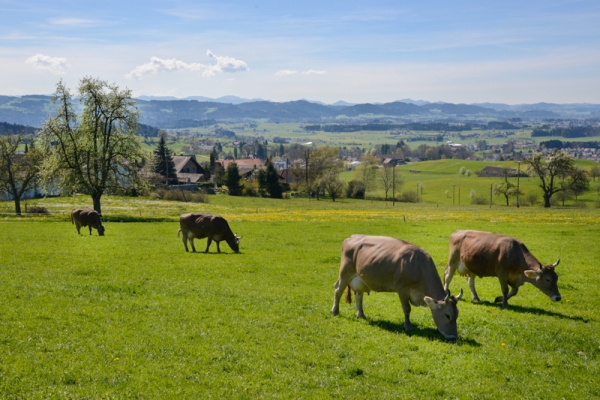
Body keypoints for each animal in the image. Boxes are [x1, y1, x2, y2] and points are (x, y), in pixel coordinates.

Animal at [330, 234, 462, 340]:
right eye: (448, 315)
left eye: (457, 315)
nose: (454, 337)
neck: (418, 265)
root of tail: (352, 237)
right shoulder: (402, 288)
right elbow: (407, 308)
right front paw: (408, 326)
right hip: (345, 273)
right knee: (338, 290)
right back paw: (335, 311)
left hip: (360, 279)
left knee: (359, 295)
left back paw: (361, 314)